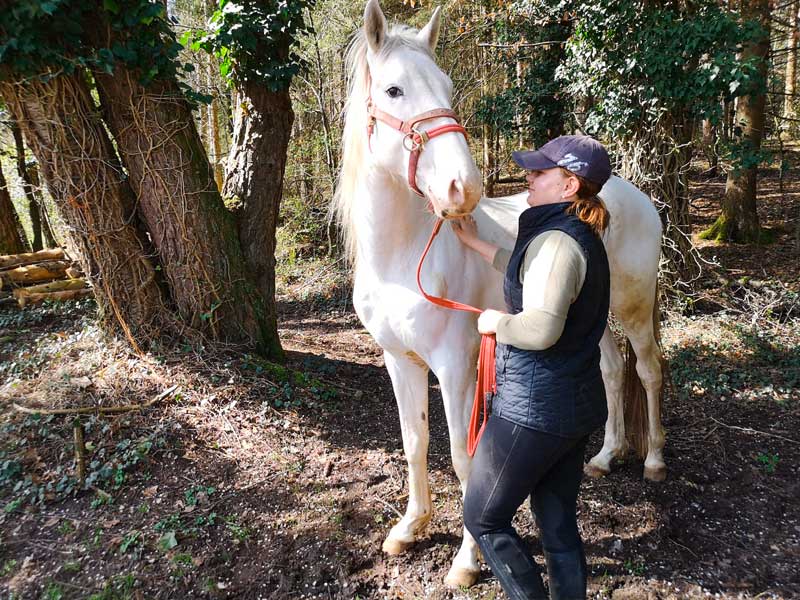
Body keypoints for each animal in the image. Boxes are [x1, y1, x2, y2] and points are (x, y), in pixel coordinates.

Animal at [332, 0, 668, 584]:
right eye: (394, 90)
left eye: (447, 86)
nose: (462, 188)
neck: (402, 258)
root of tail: (632, 194)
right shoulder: (400, 360)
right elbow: (414, 441)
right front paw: (409, 528)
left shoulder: (455, 366)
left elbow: (464, 458)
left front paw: (467, 562)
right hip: (597, 318)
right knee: (608, 370)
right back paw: (605, 457)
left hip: (632, 307)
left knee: (647, 370)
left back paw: (652, 462)